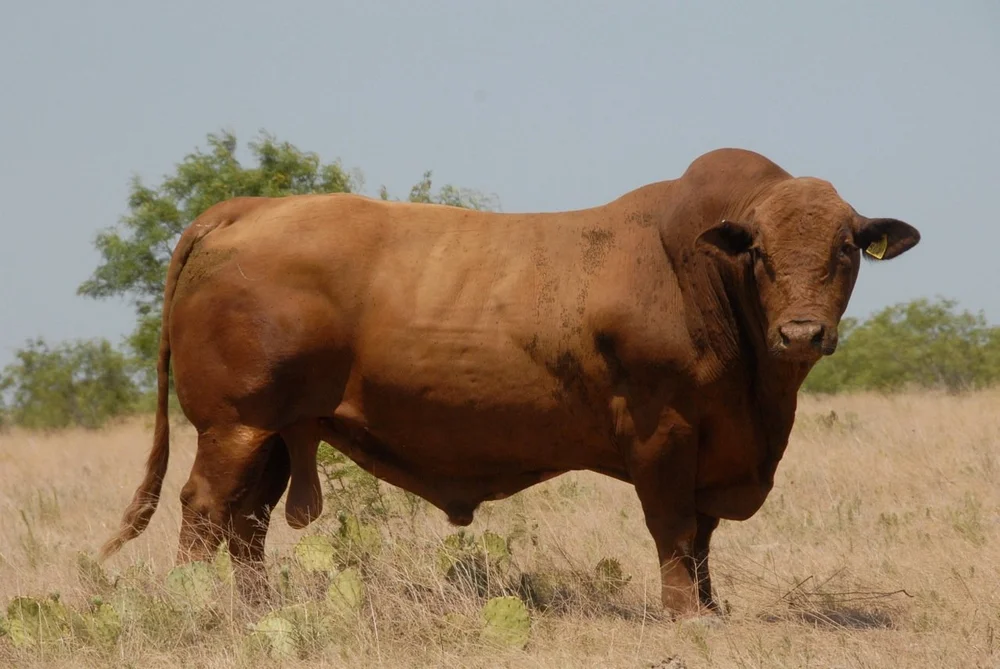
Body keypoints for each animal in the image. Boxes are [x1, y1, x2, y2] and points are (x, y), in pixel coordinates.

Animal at [98, 148, 920, 619]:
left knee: (249, 523)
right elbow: (676, 528)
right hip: (234, 423)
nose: (803, 334)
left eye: (846, 249)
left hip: (275, 431)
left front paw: (713, 609)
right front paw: (685, 615)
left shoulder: (716, 444)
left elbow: (705, 534)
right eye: (759, 253)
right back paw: (196, 610)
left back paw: (255, 612)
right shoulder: (663, 430)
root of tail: (249, 207)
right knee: (206, 509)